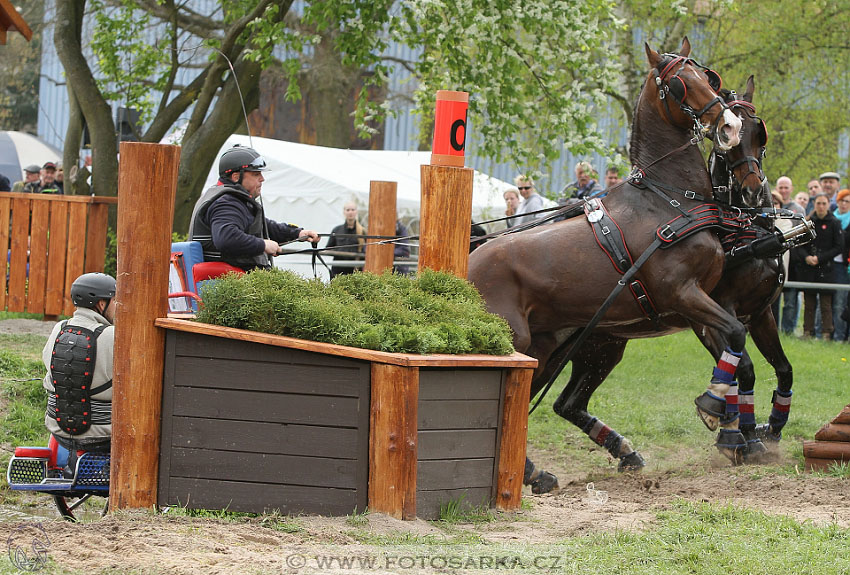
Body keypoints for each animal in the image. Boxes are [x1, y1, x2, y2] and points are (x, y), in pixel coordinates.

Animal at [468, 38, 752, 492]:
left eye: (709, 77)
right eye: (680, 84)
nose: (728, 127)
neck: (669, 201)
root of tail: (469, 260)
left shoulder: (699, 304)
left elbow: (736, 351)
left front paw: (729, 427)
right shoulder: (681, 293)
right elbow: (738, 333)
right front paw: (712, 406)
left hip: (546, 346)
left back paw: (534, 471)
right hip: (516, 341)